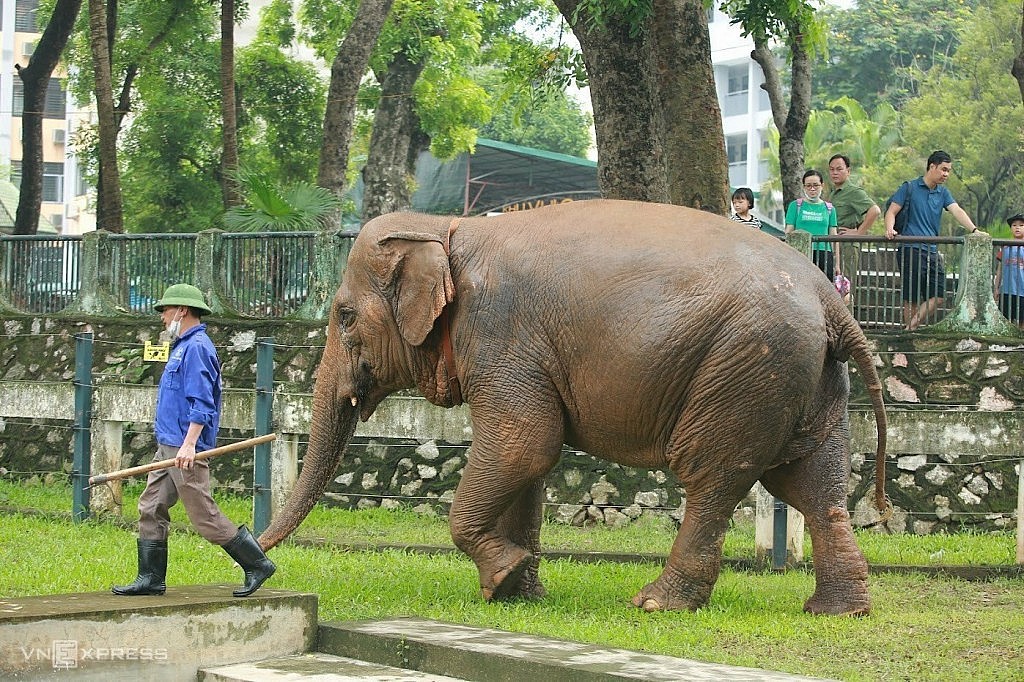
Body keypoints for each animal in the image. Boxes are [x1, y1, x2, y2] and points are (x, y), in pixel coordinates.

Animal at [260, 197, 892, 614]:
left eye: (344, 316)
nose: (254, 558)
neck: (445, 228)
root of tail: (830, 299)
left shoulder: (500, 333)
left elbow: (523, 445)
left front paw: (504, 576)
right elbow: (530, 465)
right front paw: (516, 593)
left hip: (745, 371)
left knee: (714, 477)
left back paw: (656, 604)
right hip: (809, 379)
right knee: (813, 485)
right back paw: (838, 610)